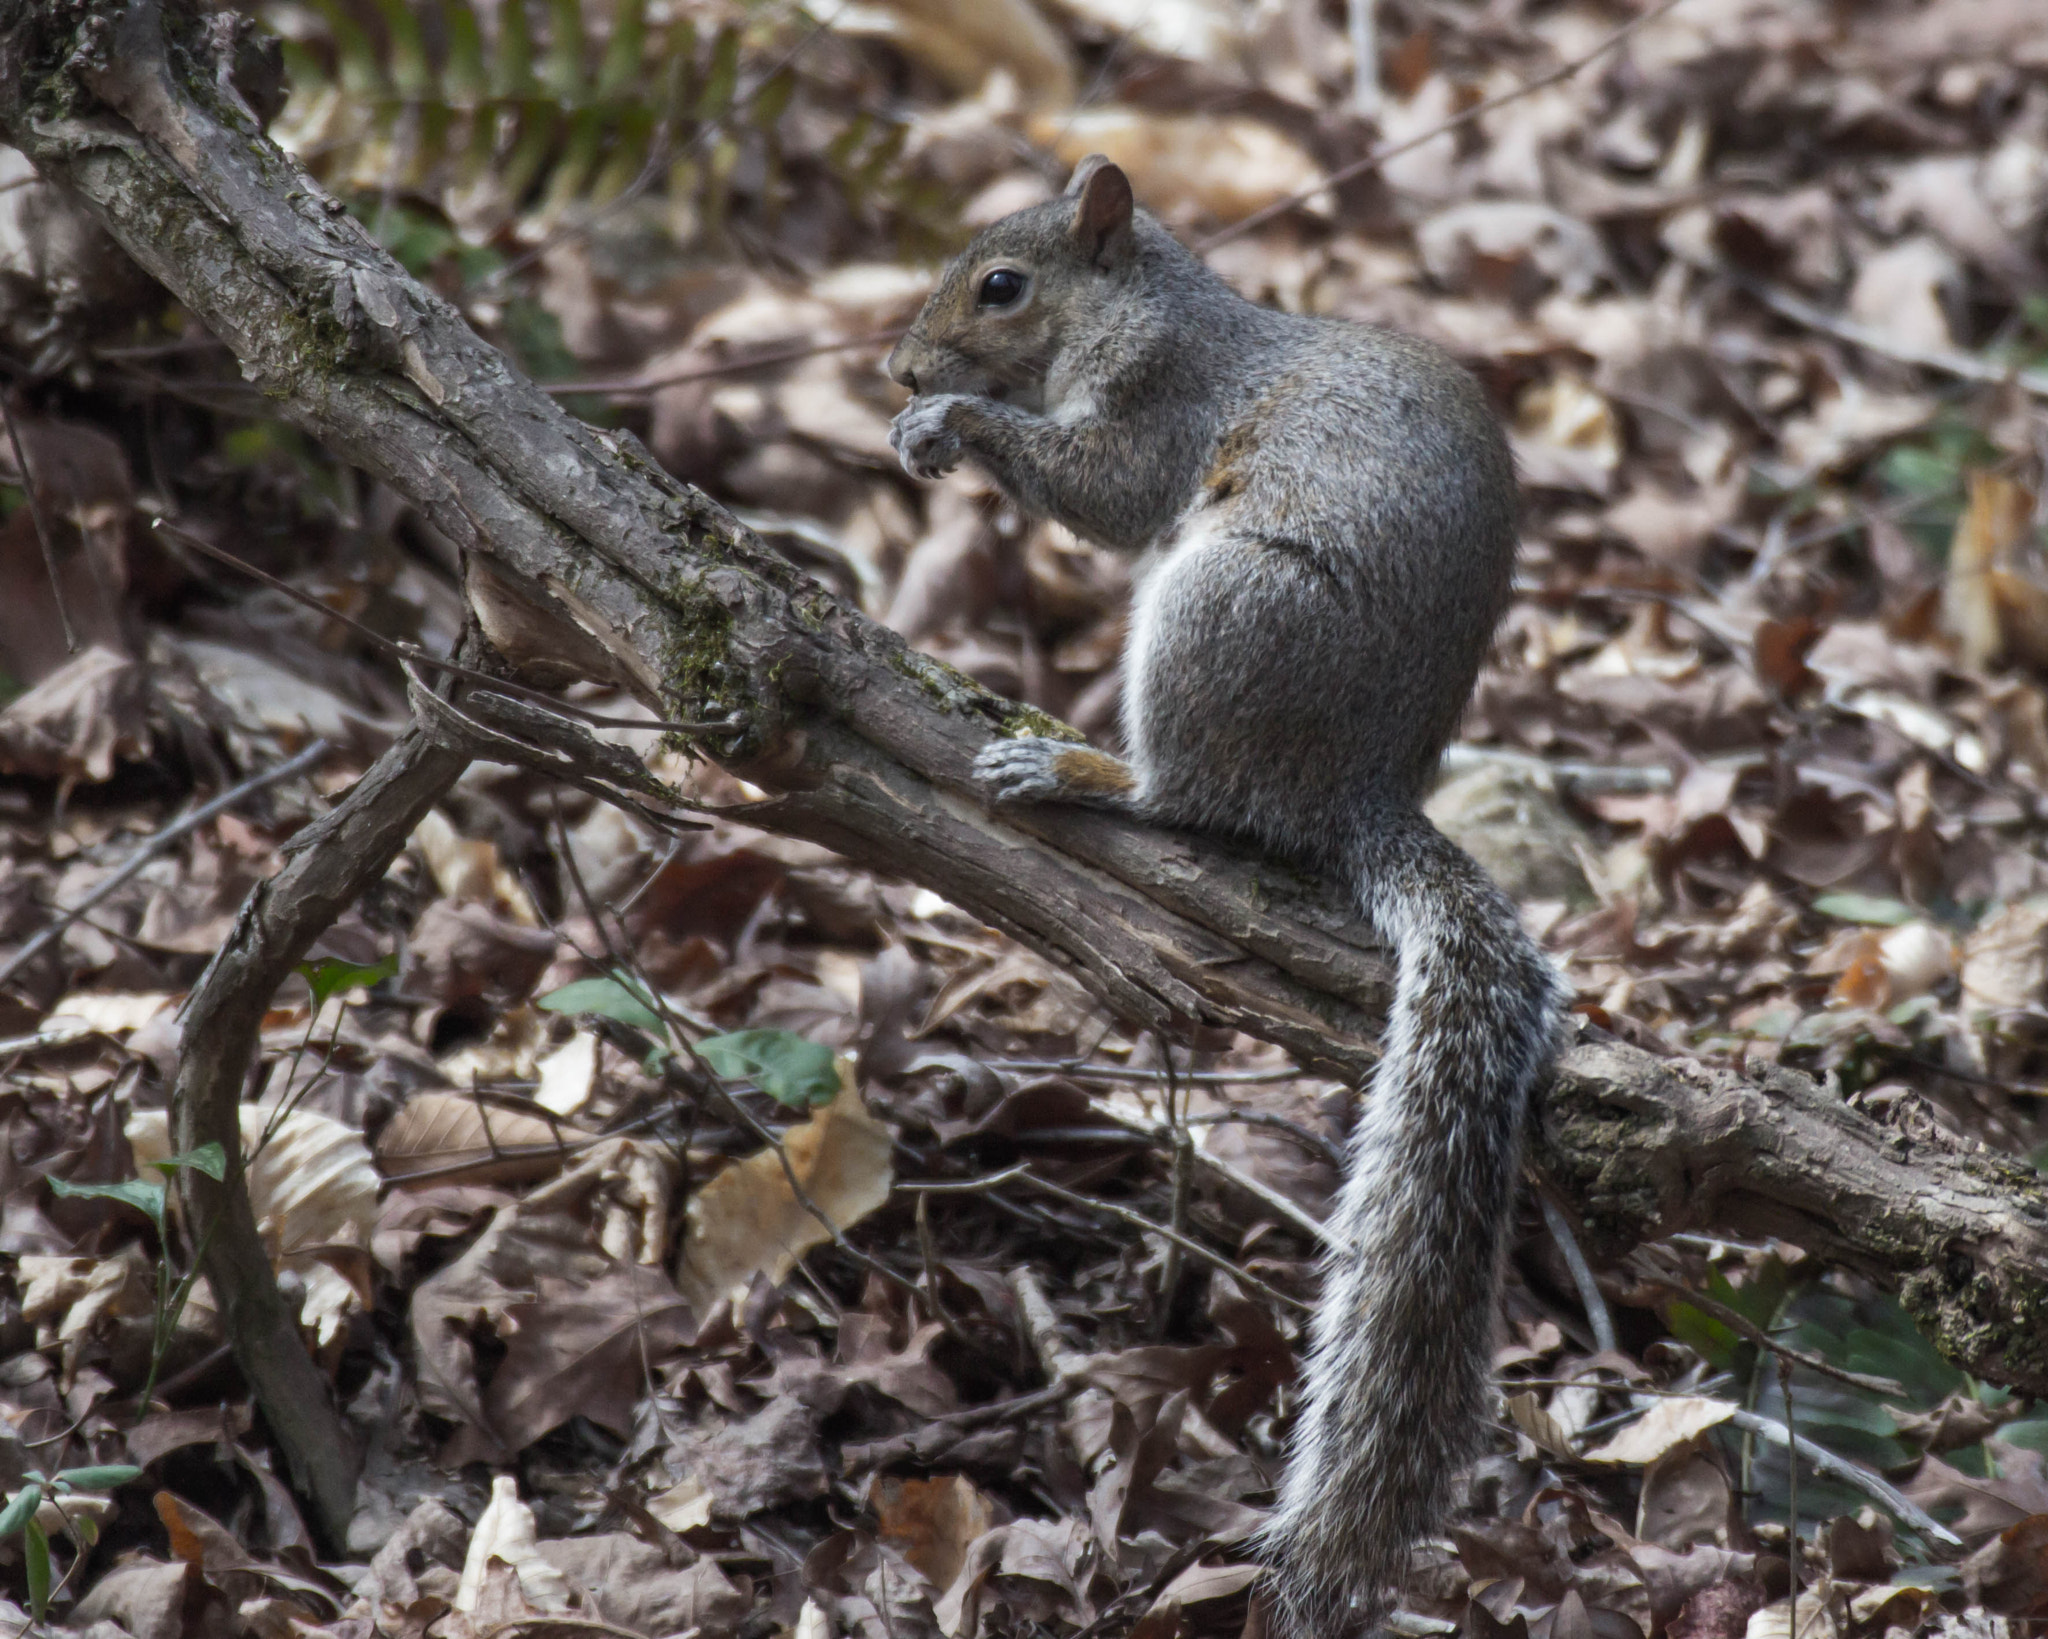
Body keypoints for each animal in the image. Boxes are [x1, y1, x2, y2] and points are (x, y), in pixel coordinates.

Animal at [884, 156, 1564, 1639]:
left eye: (1001, 286)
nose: (898, 364)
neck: (1158, 309)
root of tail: (1356, 792)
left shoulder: (1162, 411)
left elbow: (1103, 491)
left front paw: (952, 420)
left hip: (1216, 611)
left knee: (1188, 798)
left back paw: (1079, 765)